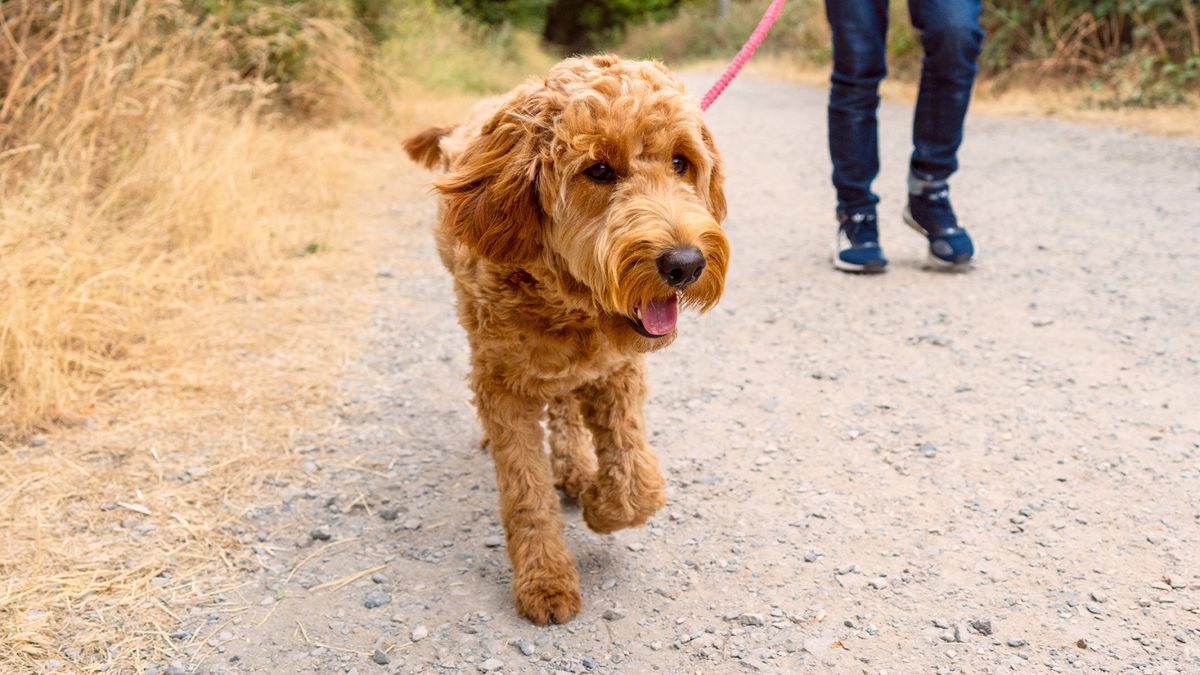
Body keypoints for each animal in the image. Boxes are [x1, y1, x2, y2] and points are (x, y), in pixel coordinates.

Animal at [403, 55, 724, 624]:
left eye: (681, 162)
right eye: (598, 170)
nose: (685, 264)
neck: (569, 305)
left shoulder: (618, 370)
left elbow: (638, 480)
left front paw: (601, 504)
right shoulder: (504, 385)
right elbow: (525, 492)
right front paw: (545, 581)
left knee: (565, 405)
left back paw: (575, 465)